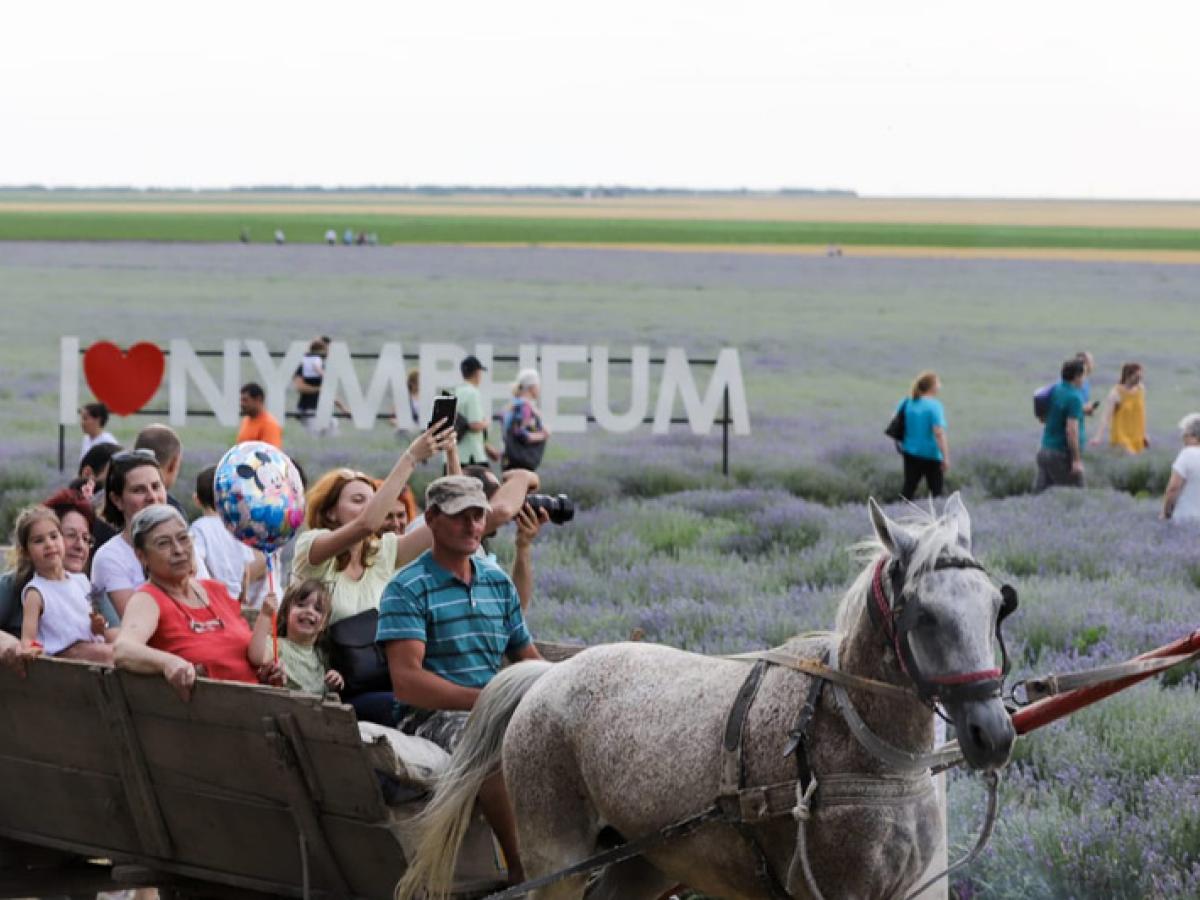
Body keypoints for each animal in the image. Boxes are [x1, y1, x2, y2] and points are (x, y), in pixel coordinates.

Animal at [397, 493, 1017, 900]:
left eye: (996, 604)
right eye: (925, 614)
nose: (992, 732)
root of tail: (549, 675)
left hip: (640, 859)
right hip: (559, 858)